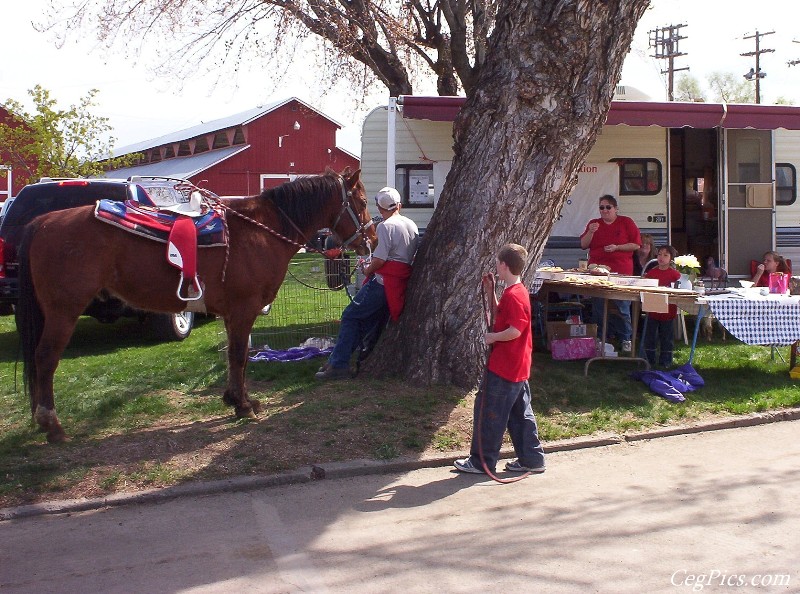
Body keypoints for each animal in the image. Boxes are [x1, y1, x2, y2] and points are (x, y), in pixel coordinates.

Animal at [17, 166, 376, 440]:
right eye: (360, 201)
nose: (371, 239)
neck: (261, 232)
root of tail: (41, 223)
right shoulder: (243, 310)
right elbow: (239, 356)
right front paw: (243, 405)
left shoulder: (232, 314)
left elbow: (235, 357)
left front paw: (236, 399)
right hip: (63, 311)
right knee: (45, 358)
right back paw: (53, 426)